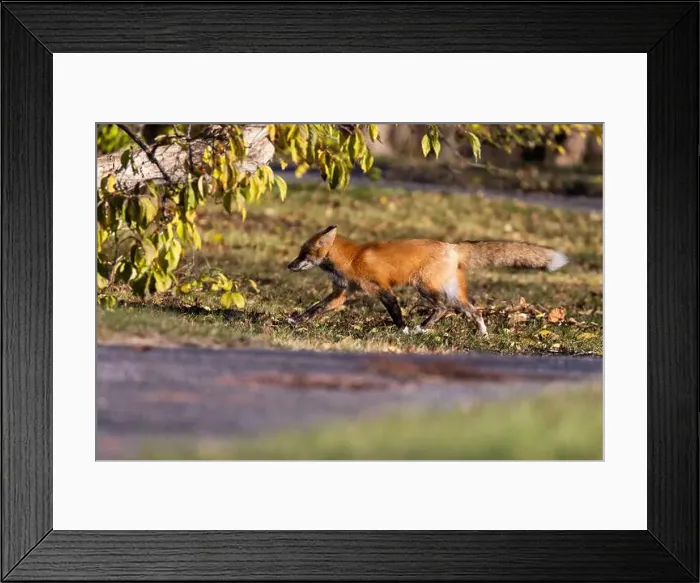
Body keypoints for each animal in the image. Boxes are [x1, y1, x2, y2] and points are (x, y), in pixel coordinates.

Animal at [286, 225, 568, 336]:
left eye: (303, 254)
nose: (289, 266)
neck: (352, 258)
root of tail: (452, 246)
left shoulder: (382, 289)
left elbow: (395, 312)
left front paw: (403, 330)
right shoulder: (342, 293)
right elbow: (315, 309)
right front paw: (295, 321)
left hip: (424, 286)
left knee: (443, 307)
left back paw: (421, 328)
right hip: (452, 292)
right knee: (473, 310)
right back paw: (482, 334)